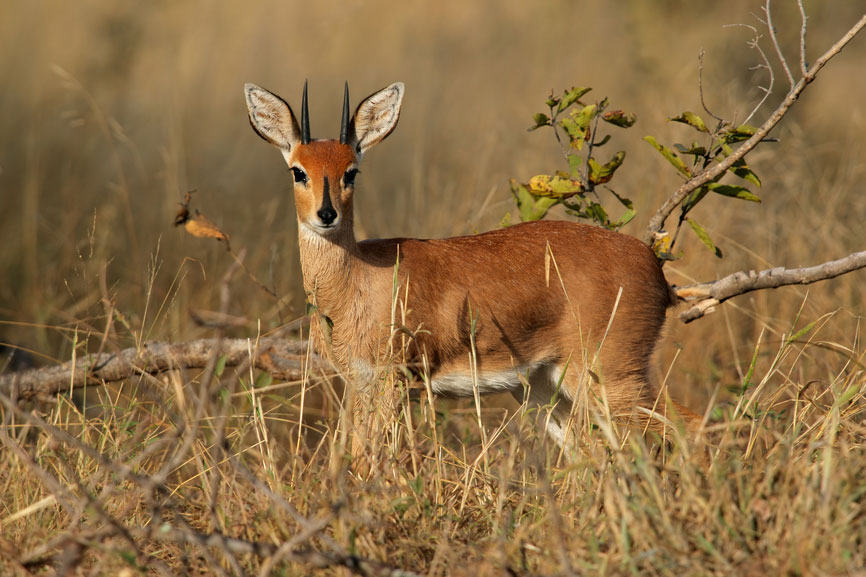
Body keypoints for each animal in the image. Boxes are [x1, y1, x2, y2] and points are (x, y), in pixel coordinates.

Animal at [241, 79, 696, 452]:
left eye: (351, 172)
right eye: (298, 171)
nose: (326, 214)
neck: (358, 279)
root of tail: (654, 267)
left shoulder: (391, 383)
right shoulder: (362, 386)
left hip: (611, 378)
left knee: (691, 428)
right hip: (547, 388)